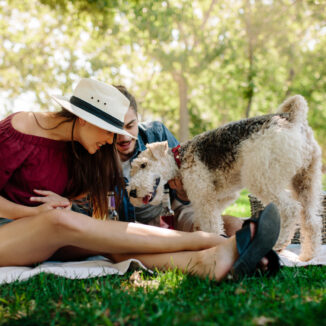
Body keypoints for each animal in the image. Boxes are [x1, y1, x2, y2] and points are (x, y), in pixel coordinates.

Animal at [127, 95, 324, 262]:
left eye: (143, 165)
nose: (133, 192)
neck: (178, 159)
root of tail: (292, 118)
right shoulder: (223, 195)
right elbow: (209, 218)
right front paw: (199, 228)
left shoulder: (203, 195)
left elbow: (212, 225)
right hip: (305, 180)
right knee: (311, 222)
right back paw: (307, 256)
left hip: (262, 179)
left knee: (290, 209)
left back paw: (279, 244)